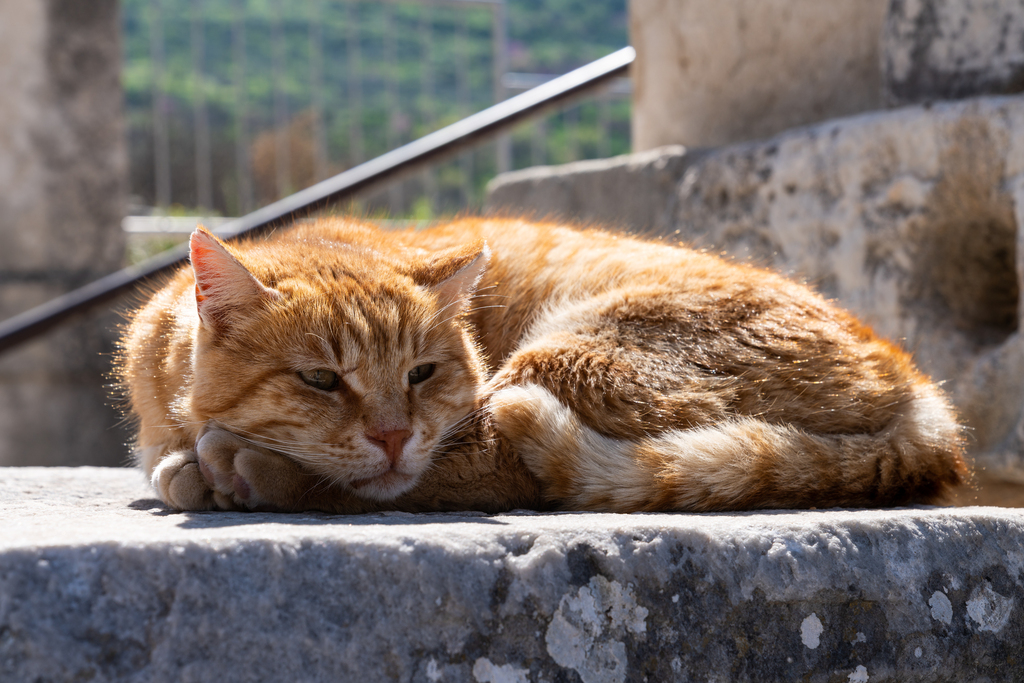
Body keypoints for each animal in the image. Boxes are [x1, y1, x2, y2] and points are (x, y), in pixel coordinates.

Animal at [117, 219, 966, 511]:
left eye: (421, 373)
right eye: (321, 379)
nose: (393, 435)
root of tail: (920, 387)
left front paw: (221, 464)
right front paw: (183, 463)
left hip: (565, 360)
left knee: (495, 468)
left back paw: (249, 471)